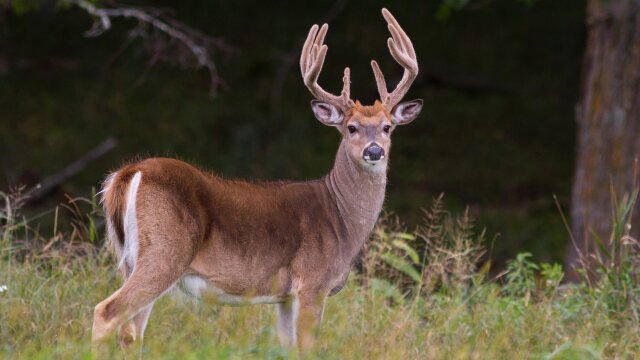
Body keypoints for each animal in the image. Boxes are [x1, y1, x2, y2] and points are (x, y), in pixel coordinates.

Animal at [90, 8, 420, 350]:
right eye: (351, 128)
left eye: (387, 127)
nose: (374, 150)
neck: (341, 219)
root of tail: (128, 173)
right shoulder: (313, 282)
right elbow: (308, 348)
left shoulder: (285, 297)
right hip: (165, 252)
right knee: (107, 312)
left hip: (132, 259)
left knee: (131, 333)